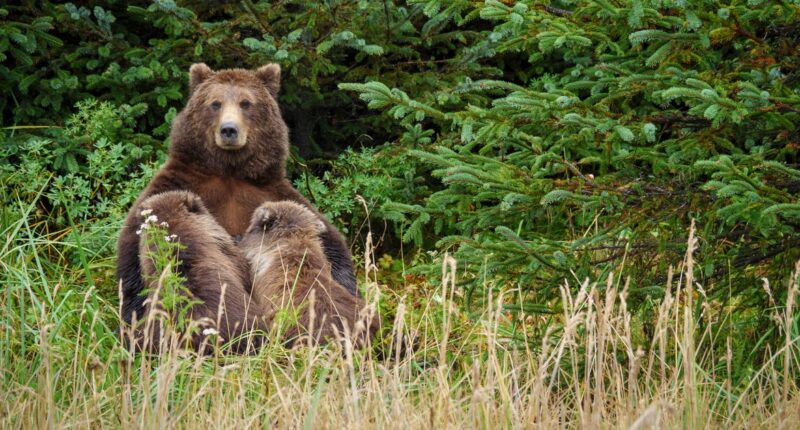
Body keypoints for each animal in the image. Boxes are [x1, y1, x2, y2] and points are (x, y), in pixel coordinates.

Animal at [117, 63, 358, 351]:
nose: (229, 130)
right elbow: (132, 255)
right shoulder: (179, 184)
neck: (229, 171)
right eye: (215, 103)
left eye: (246, 103)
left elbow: (331, 244)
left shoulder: (270, 192)